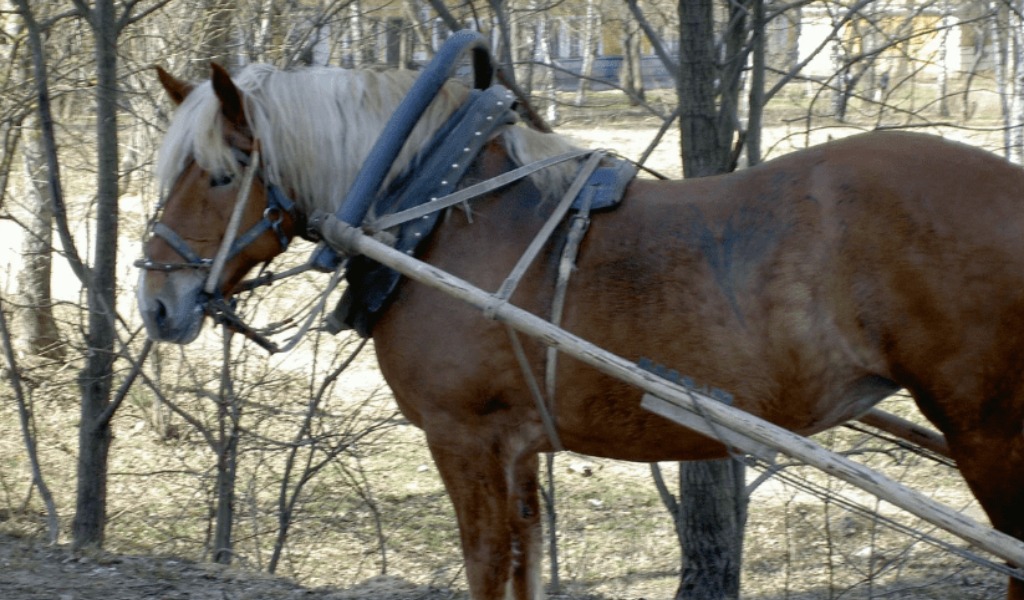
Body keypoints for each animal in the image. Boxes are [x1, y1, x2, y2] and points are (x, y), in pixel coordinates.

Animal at [136, 58, 1024, 593]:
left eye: (219, 176)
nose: (155, 301)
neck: (437, 212)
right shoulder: (516, 447)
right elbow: (522, 563)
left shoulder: (464, 438)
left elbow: (486, 564)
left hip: (990, 436)